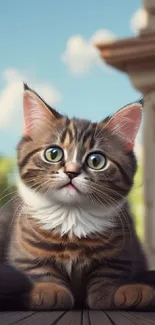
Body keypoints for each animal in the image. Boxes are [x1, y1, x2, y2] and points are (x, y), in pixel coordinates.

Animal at [4, 84, 154, 308]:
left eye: (96, 160)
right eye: (53, 153)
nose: (72, 172)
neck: (71, 216)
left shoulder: (123, 252)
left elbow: (109, 275)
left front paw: (116, 294)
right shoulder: (24, 251)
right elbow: (38, 270)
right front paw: (48, 290)